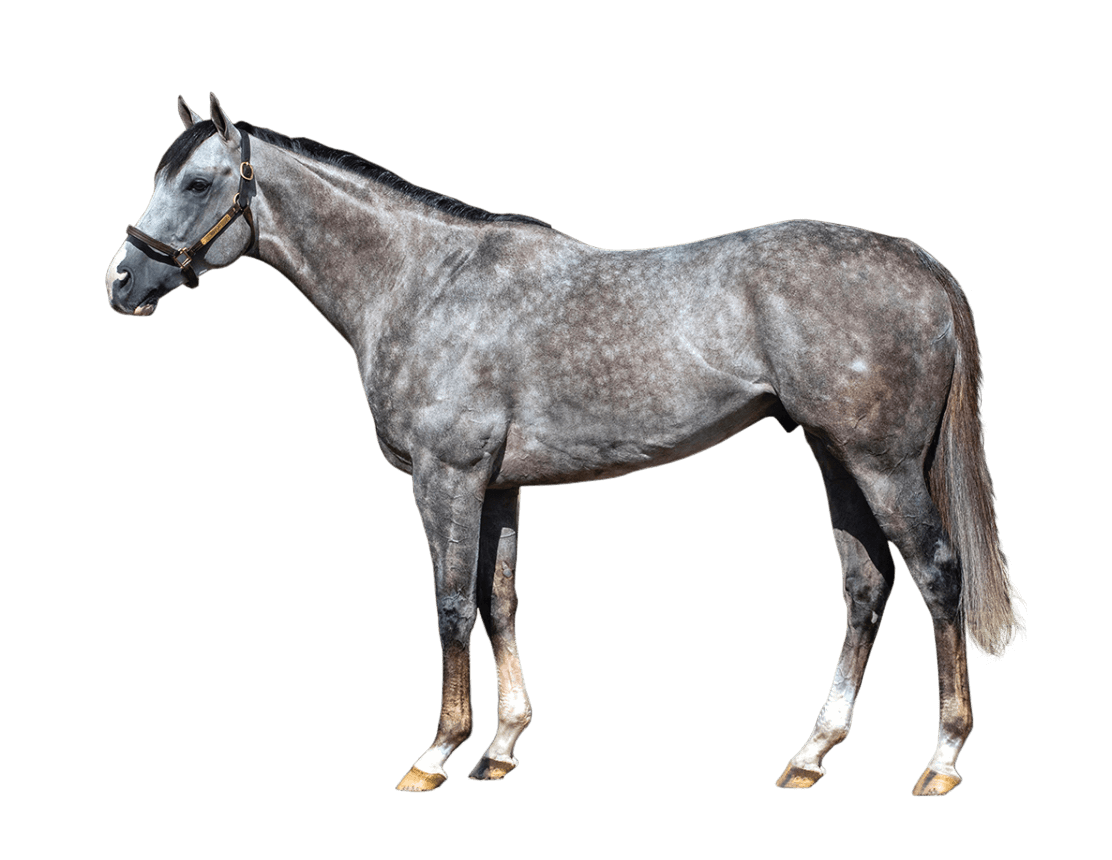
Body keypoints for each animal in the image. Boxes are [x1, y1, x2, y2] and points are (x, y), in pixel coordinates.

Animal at [106, 94, 1024, 795]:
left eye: (197, 181)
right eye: (158, 179)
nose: (120, 281)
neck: (426, 283)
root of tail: (915, 260)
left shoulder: (446, 477)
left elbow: (450, 604)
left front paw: (435, 756)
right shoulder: (501, 486)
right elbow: (501, 601)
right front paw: (502, 748)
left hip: (883, 464)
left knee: (937, 575)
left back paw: (941, 762)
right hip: (835, 458)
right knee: (866, 587)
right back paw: (810, 755)